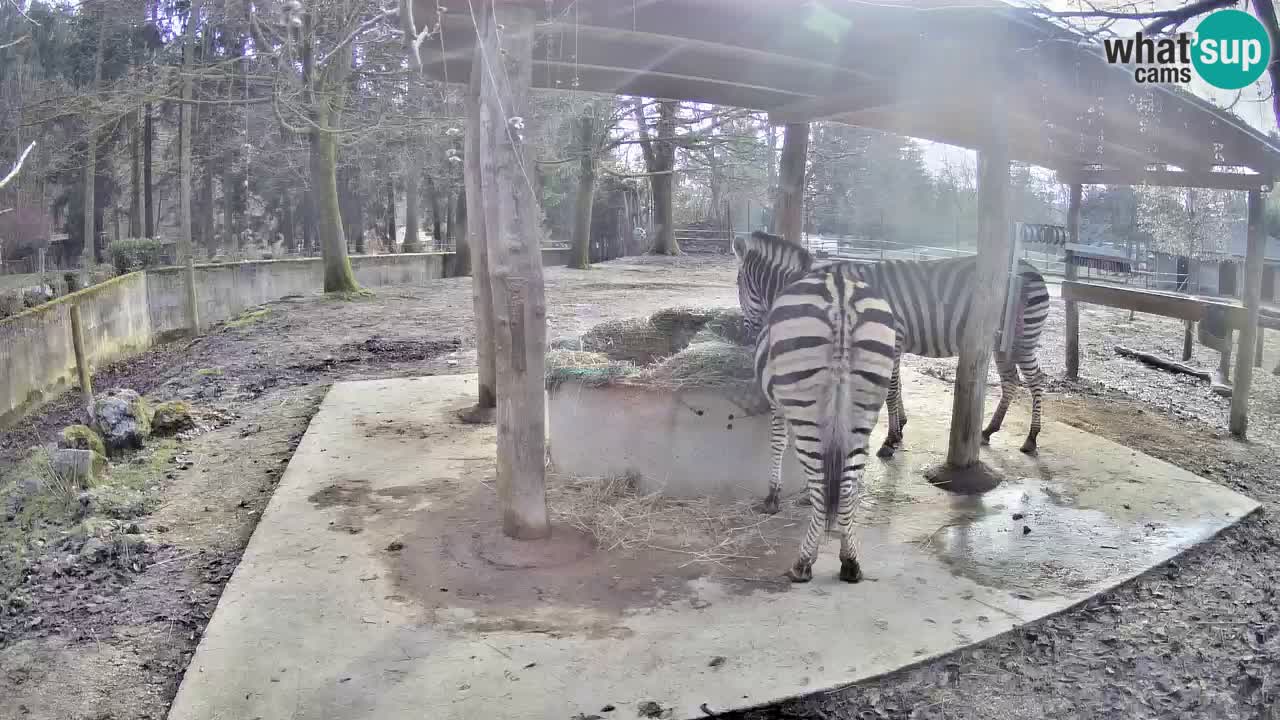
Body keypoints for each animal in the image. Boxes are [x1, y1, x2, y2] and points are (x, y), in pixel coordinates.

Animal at [737, 233, 896, 579]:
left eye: (740, 283)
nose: (746, 331)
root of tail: (841, 298)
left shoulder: (779, 403)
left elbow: (779, 443)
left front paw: (773, 495)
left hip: (805, 403)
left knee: (823, 482)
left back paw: (803, 562)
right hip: (864, 407)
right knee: (847, 484)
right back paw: (850, 560)